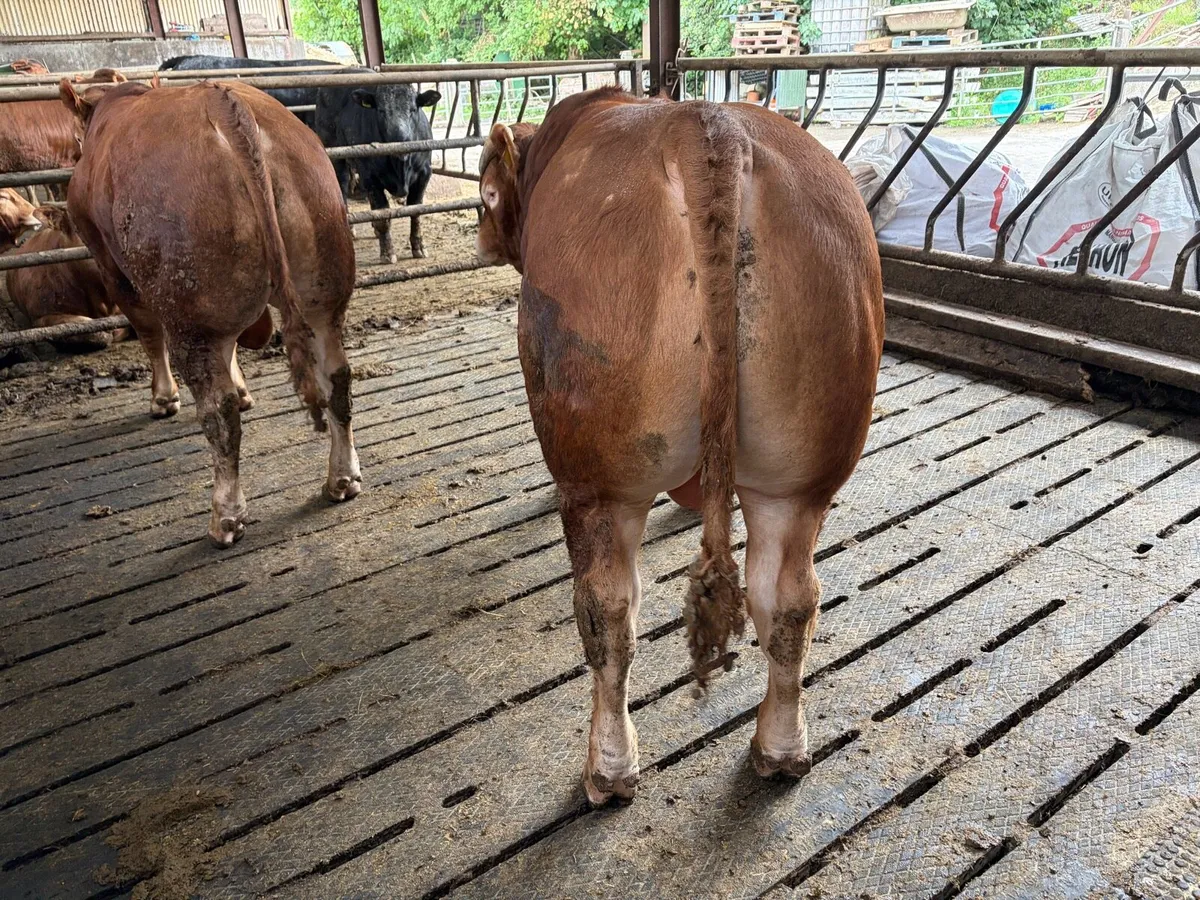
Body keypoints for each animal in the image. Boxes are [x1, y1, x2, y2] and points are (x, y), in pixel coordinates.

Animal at [60, 76, 362, 547]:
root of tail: (224, 102)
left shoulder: (114, 271)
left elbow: (148, 335)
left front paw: (163, 398)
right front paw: (243, 387)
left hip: (191, 313)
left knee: (219, 412)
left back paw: (226, 516)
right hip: (322, 290)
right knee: (338, 377)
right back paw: (342, 478)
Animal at [314, 73, 441, 263]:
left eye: (413, 109)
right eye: (381, 111)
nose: (400, 138)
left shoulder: (424, 174)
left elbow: (416, 211)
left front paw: (418, 247)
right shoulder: (371, 178)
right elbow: (382, 215)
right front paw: (387, 252)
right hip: (337, 157)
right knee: (342, 188)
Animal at [476, 87, 884, 805]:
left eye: (486, 191)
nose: (479, 239)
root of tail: (705, 128)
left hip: (599, 477)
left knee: (608, 613)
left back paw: (609, 769)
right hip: (801, 469)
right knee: (789, 600)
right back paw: (781, 750)